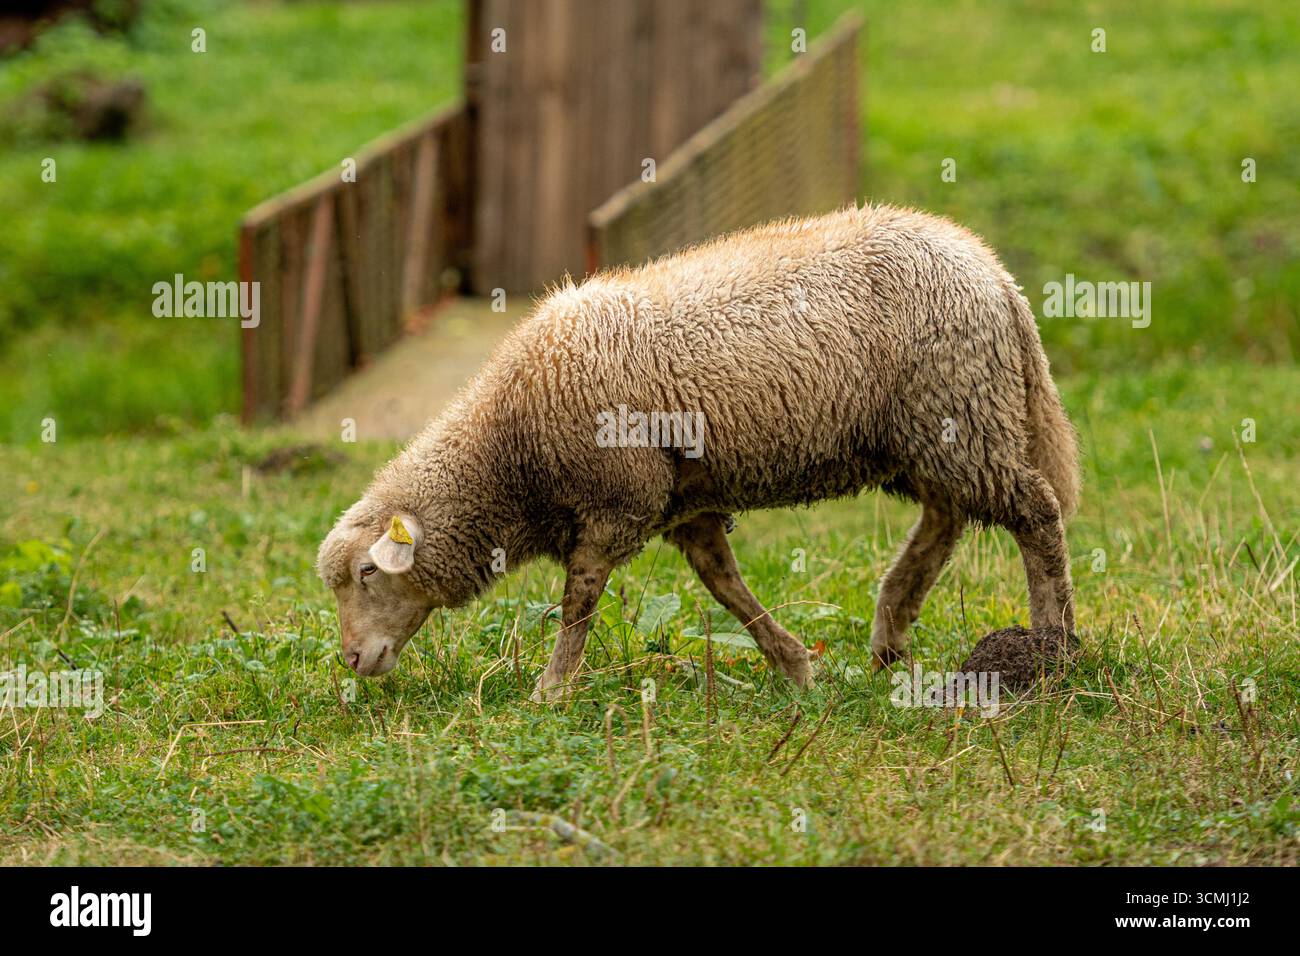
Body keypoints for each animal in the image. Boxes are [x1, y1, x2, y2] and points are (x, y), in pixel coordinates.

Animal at [317, 203, 1079, 701]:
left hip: (958, 415)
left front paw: (551, 688)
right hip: (928, 435)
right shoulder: (681, 505)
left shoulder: (619, 501)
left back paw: (1052, 648)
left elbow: (579, 601)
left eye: (367, 574)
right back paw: (891, 636)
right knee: (946, 520)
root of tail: (996, 275)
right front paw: (794, 666)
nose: (353, 659)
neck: (509, 445)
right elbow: (724, 584)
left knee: (1035, 513)